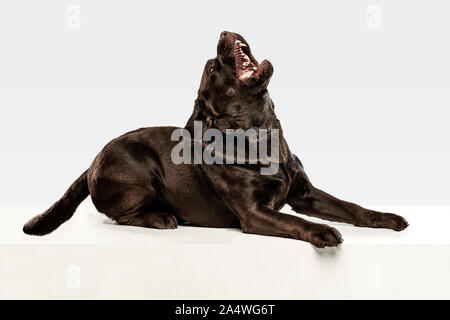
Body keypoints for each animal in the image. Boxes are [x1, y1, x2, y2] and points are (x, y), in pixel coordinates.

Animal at [23, 31, 408, 248]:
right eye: (212, 69)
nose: (224, 31)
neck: (260, 132)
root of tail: (90, 163)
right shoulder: (254, 214)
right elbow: (296, 222)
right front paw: (322, 231)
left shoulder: (305, 193)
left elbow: (351, 207)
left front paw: (386, 218)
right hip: (140, 170)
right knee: (120, 216)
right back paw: (162, 218)